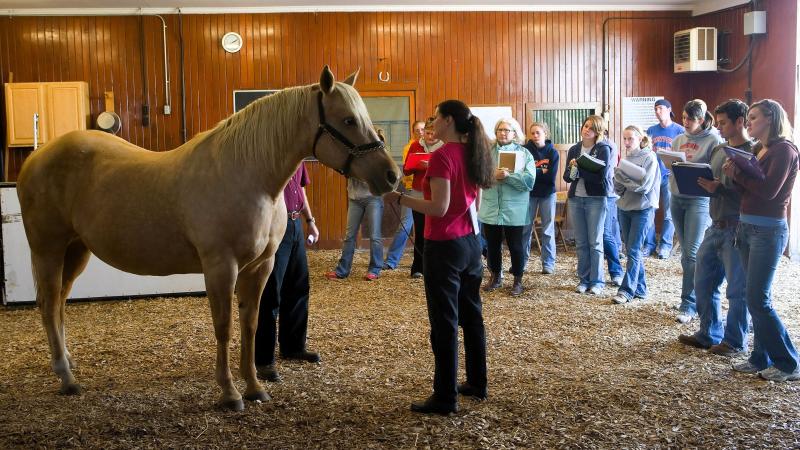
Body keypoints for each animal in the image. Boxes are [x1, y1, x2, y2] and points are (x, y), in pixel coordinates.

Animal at [20, 66, 400, 408]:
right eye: (348, 120)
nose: (392, 175)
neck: (247, 174)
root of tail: (37, 156)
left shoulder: (260, 267)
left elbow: (250, 324)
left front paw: (255, 388)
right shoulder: (221, 266)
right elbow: (224, 326)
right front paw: (230, 394)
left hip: (75, 250)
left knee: (59, 305)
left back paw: (68, 365)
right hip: (48, 249)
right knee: (49, 304)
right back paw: (67, 379)